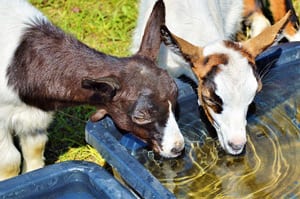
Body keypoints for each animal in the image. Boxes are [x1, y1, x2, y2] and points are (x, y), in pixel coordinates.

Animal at [0, 0, 185, 180]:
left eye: (175, 99)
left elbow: (35, 149)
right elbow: (10, 161)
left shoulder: (34, 116)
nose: (177, 147)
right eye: (141, 115)